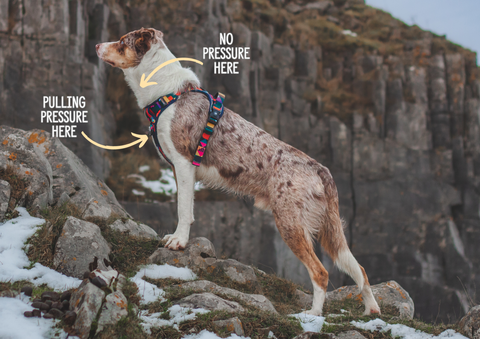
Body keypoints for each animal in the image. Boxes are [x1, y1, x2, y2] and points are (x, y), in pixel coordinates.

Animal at [95, 27, 380, 318]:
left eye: (122, 41)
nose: (96, 45)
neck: (166, 94)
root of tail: (320, 169)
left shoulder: (183, 163)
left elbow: (183, 210)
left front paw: (178, 242)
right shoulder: (179, 169)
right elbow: (187, 208)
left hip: (290, 222)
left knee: (321, 272)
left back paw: (312, 316)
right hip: (326, 229)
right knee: (361, 271)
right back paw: (371, 309)